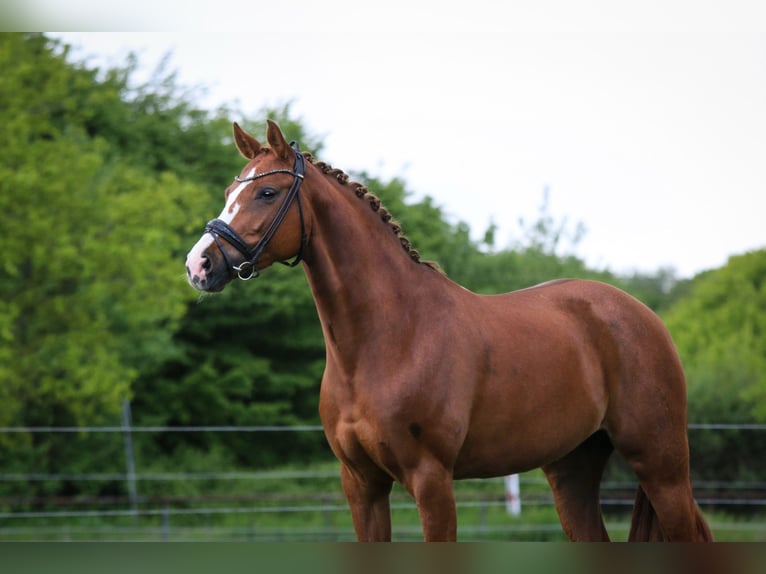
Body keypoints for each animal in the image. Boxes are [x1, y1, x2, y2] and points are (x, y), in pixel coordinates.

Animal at [185, 120, 713, 542]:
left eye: (267, 193)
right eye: (230, 193)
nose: (199, 264)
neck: (389, 339)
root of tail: (641, 315)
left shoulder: (431, 481)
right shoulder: (361, 485)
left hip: (662, 467)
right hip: (572, 469)